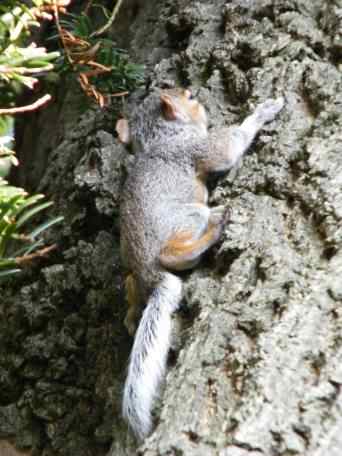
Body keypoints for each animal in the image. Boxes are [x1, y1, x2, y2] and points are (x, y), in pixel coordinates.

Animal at [116, 87, 284, 440]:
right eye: (189, 96)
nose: (197, 98)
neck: (162, 137)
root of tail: (149, 273)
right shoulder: (196, 148)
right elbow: (228, 147)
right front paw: (264, 111)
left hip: (134, 277)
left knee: (131, 291)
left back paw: (131, 314)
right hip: (189, 218)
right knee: (176, 251)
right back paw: (212, 231)